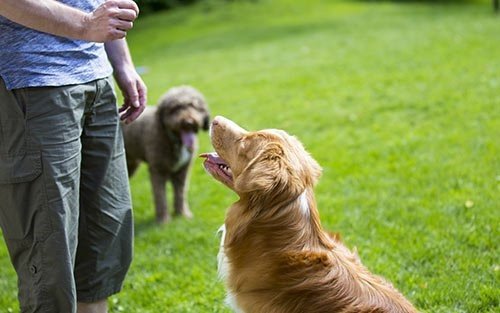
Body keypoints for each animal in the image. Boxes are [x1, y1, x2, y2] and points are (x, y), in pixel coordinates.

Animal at [125, 84, 211, 222]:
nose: (188, 122)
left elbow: (180, 193)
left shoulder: (182, 171)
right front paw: (164, 220)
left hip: (131, 164)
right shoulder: (158, 170)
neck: (175, 140)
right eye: (175, 108)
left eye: (194, 106)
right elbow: (161, 197)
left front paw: (182, 214)